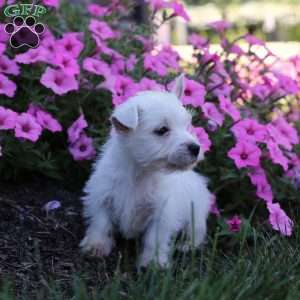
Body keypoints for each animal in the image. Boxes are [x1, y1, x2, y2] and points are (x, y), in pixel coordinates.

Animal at [80, 76, 211, 268]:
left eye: (187, 126)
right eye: (162, 130)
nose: (196, 148)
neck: (140, 172)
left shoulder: (162, 213)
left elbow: (153, 239)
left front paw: (153, 264)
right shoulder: (102, 196)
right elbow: (101, 222)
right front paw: (96, 246)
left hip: (197, 212)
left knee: (196, 231)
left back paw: (187, 245)